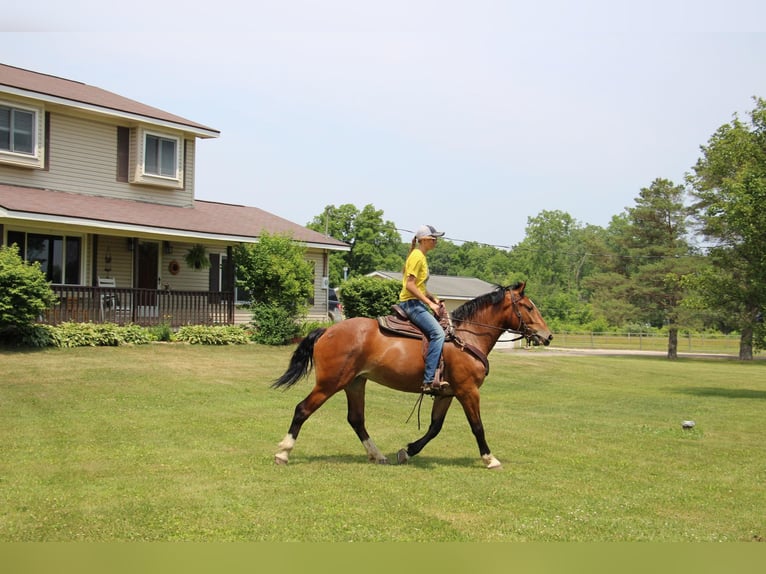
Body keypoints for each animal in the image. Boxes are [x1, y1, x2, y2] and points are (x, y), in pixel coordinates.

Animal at [270, 282, 552, 470]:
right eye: (528, 307)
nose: (547, 336)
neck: (467, 337)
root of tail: (327, 331)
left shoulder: (447, 393)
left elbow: (435, 427)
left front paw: (407, 451)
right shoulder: (468, 391)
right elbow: (477, 426)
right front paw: (490, 458)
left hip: (355, 383)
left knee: (356, 420)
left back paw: (377, 455)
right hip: (331, 383)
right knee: (302, 409)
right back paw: (283, 453)